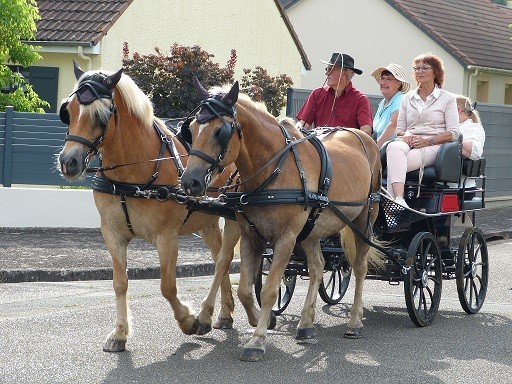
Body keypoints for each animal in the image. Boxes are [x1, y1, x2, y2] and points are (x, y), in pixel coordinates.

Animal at [57, 61, 241, 352]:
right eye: (69, 110)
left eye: (102, 116)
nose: (68, 162)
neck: (134, 171)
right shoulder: (113, 234)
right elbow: (120, 282)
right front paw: (119, 333)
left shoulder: (167, 237)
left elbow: (167, 286)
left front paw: (188, 320)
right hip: (208, 222)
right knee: (219, 257)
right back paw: (224, 313)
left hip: (236, 217)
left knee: (226, 259)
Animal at [180, 79, 384, 362]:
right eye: (190, 129)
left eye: (220, 131)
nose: (190, 182)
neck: (272, 169)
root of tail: (366, 139)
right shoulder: (251, 236)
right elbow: (245, 289)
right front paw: (260, 322)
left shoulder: (285, 239)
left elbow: (269, 290)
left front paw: (257, 340)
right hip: (311, 230)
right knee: (318, 266)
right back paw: (306, 325)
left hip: (364, 219)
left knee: (359, 267)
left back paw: (354, 322)